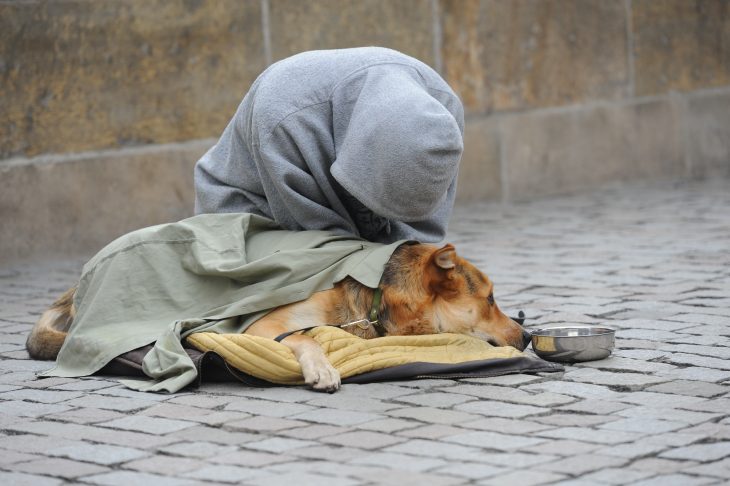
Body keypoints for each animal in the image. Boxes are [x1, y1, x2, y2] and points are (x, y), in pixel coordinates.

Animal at [28, 243, 528, 392]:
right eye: (490, 298)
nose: (525, 336)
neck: (374, 296)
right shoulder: (262, 326)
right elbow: (306, 336)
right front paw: (322, 367)